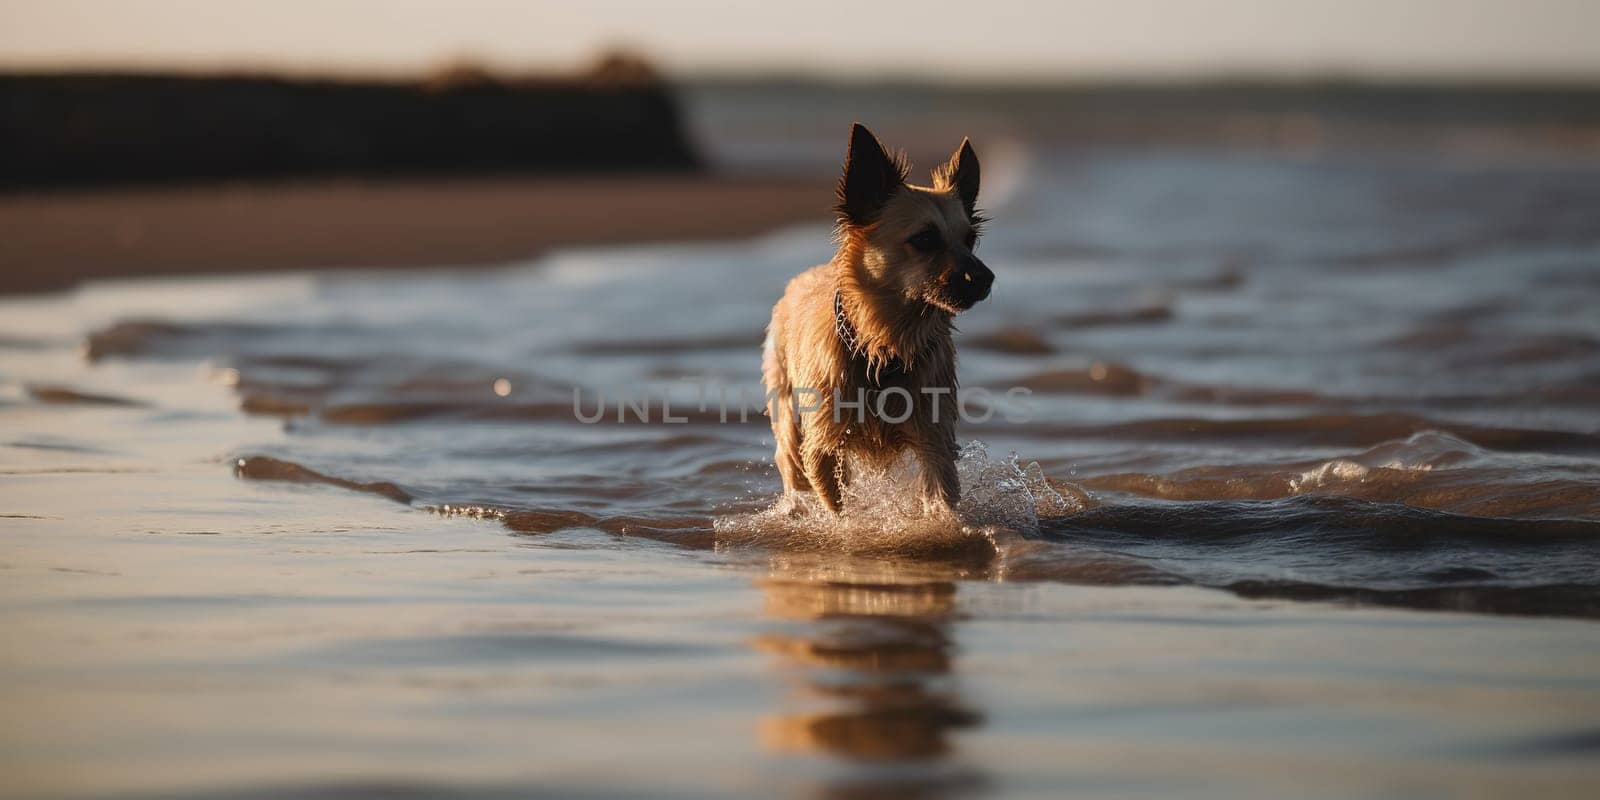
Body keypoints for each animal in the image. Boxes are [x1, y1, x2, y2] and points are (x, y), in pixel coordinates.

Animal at [758, 121, 985, 515]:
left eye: (970, 239)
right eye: (925, 238)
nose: (986, 280)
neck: (884, 350)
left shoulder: (935, 439)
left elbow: (941, 497)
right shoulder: (822, 448)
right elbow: (836, 506)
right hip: (786, 410)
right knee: (791, 460)